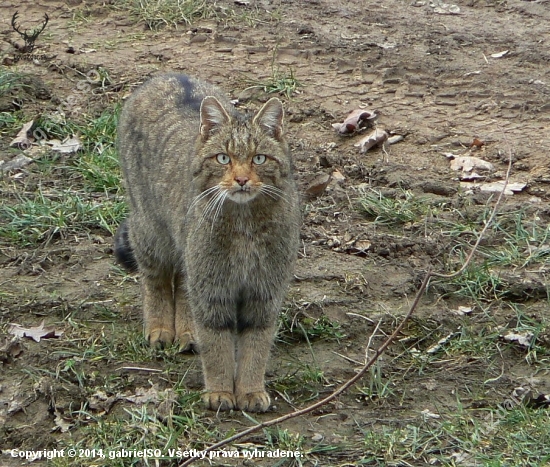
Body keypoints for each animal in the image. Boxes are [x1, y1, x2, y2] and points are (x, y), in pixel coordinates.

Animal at [113, 76, 300, 414]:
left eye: (259, 158)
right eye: (223, 158)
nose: (241, 180)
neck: (243, 226)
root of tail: (166, 75)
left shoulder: (264, 292)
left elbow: (256, 348)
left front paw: (250, 390)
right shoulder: (212, 291)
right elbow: (216, 347)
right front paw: (220, 391)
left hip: (187, 252)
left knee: (182, 284)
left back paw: (187, 331)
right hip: (151, 232)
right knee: (156, 278)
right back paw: (160, 327)